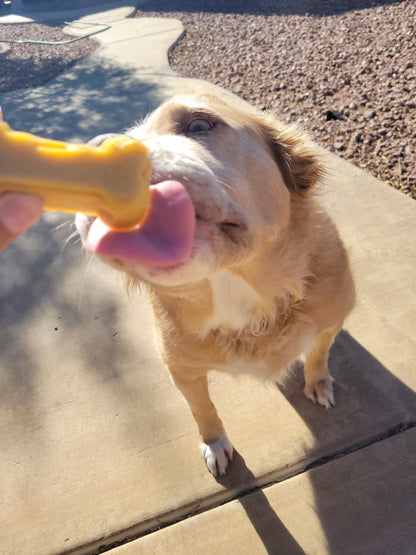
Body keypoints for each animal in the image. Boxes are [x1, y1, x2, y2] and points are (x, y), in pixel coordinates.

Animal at [75, 93, 354, 476]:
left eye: (198, 124)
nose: (90, 159)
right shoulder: (181, 370)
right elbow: (202, 408)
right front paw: (214, 443)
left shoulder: (330, 322)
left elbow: (318, 355)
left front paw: (319, 383)